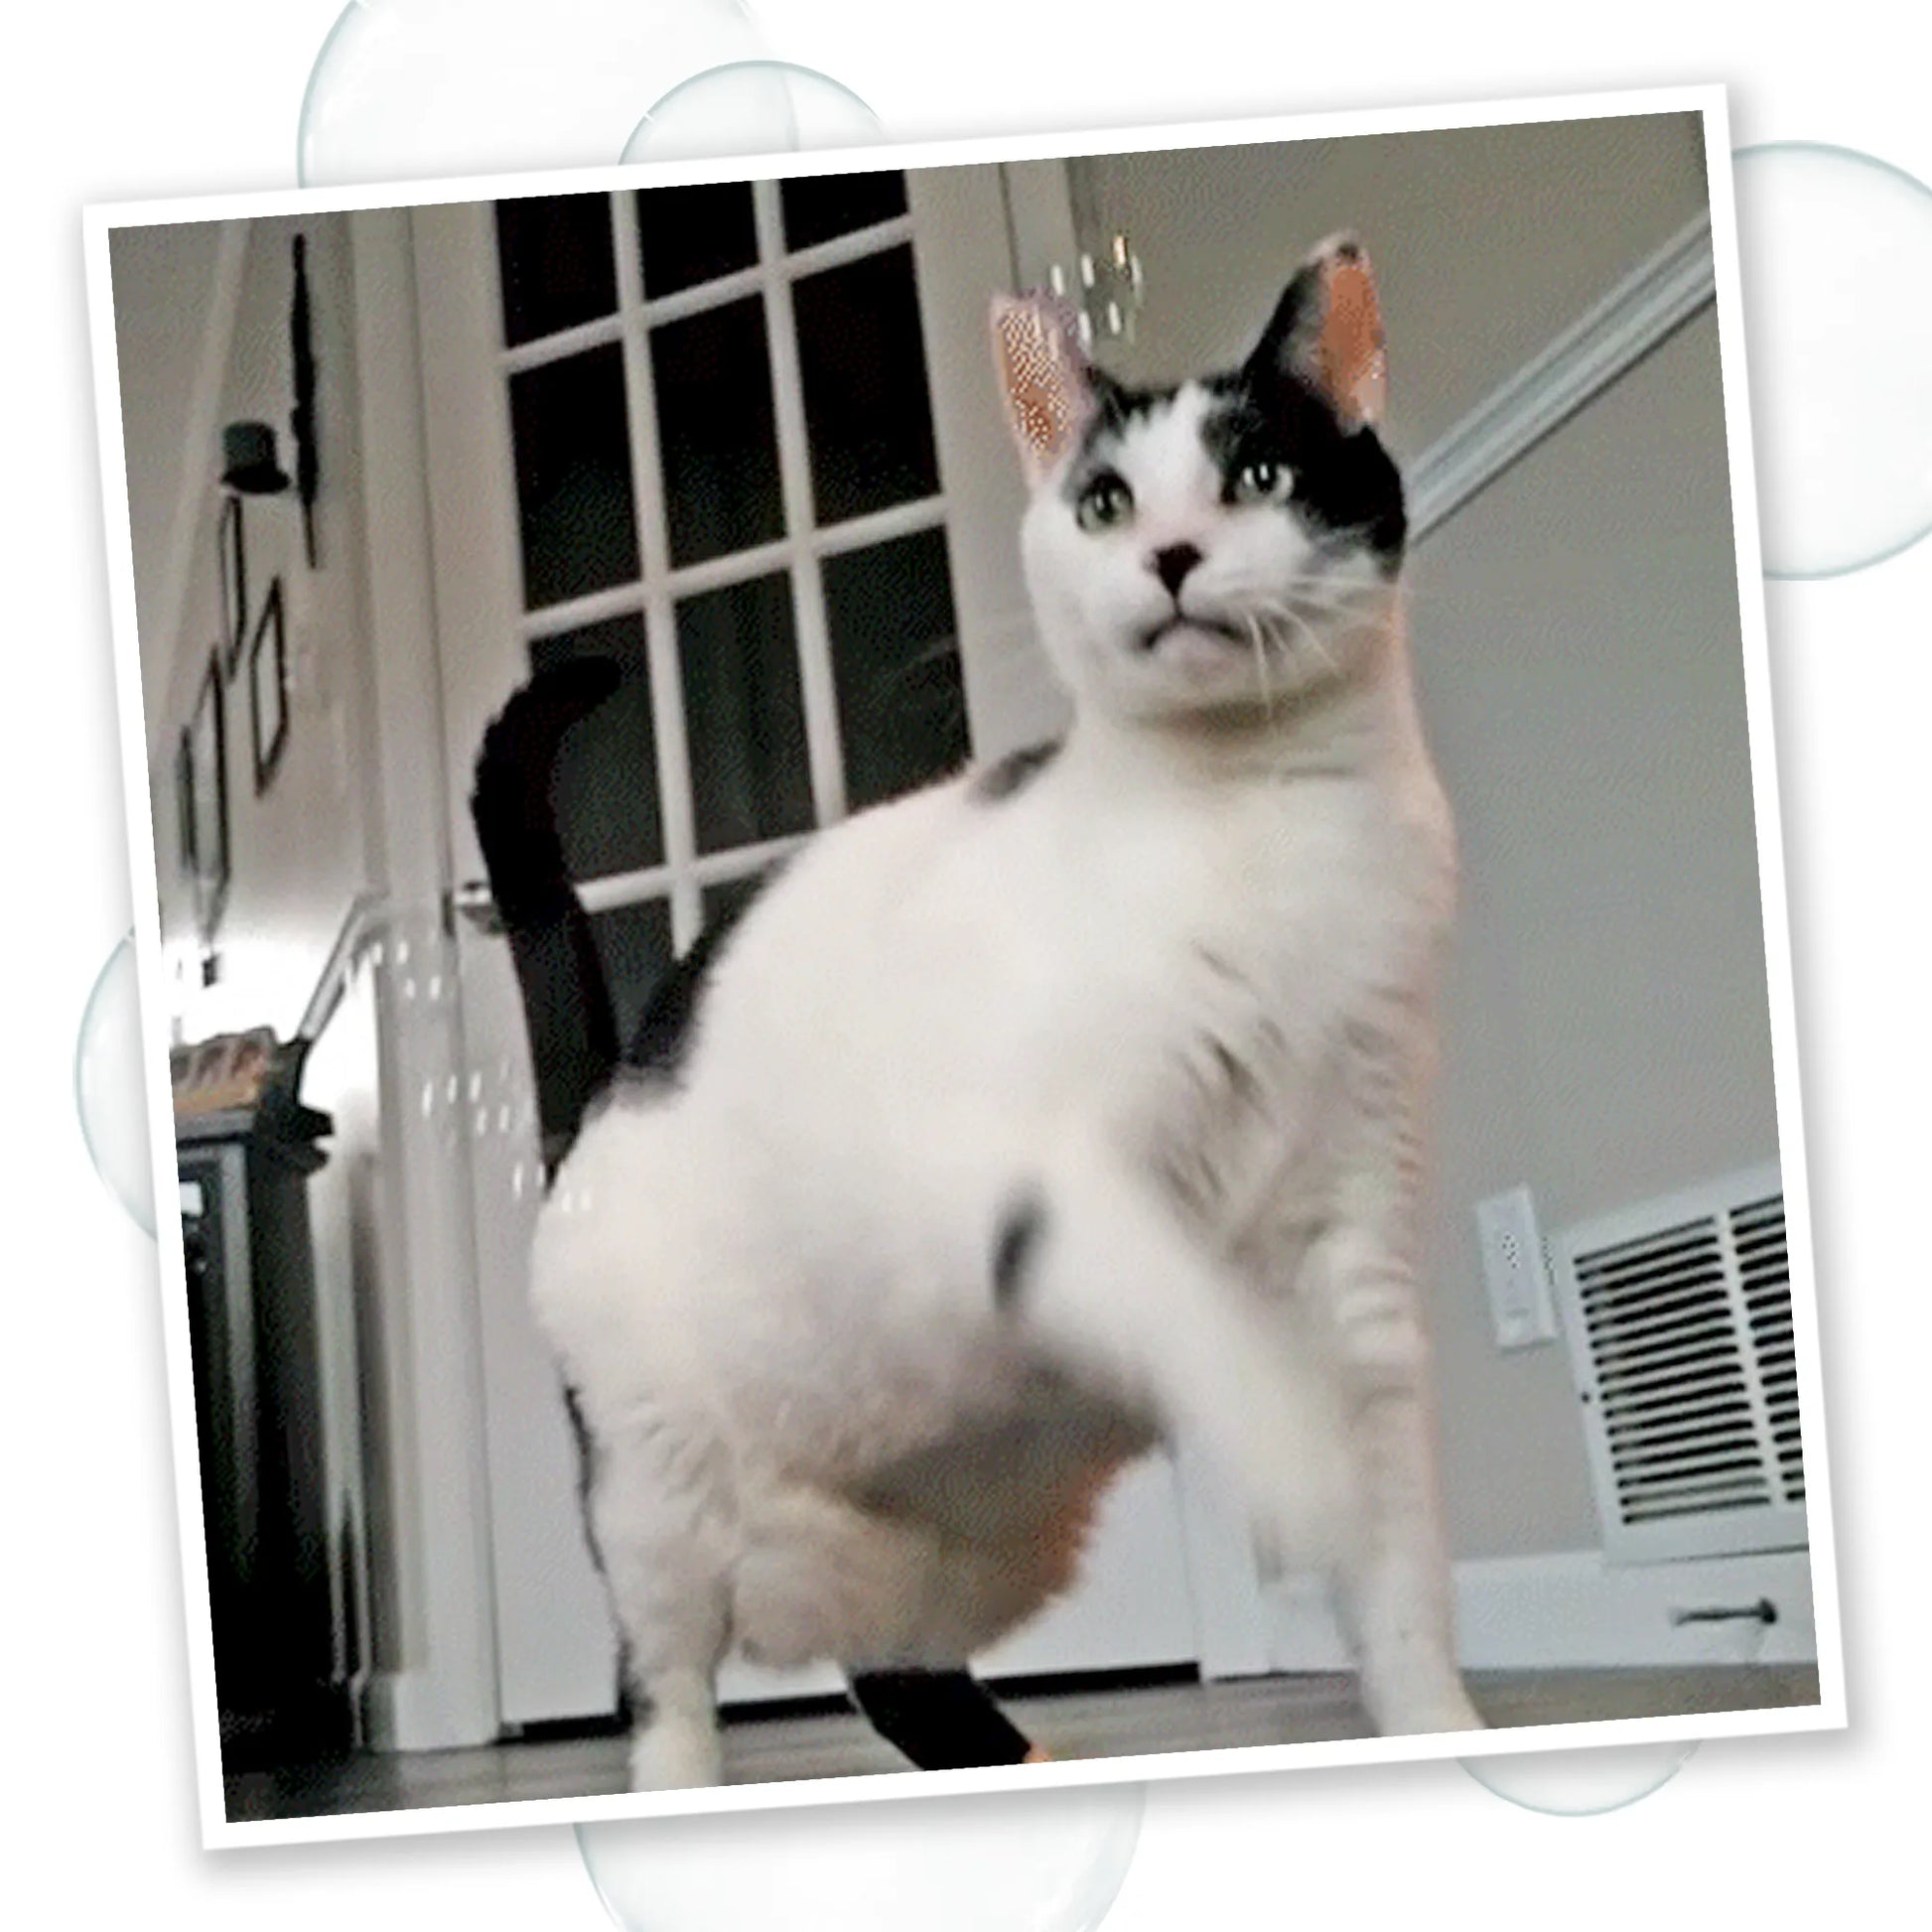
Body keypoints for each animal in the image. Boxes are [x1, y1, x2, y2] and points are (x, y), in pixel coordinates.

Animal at [467, 229, 1475, 1792]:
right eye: (1106, 502)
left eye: (1257, 474)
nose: (1169, 557)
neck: (1266, 817)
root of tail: (602, 1099)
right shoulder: (1049, 1191)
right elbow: (1200, 1322)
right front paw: (1289, 1457)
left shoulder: (1355, 1238)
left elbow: (1400, 1561)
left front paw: (1438, 1728)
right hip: (653, 1499)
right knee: (664, 1678)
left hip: (956, 1548)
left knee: (891, 1670)